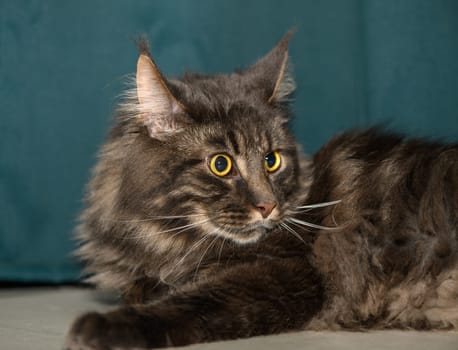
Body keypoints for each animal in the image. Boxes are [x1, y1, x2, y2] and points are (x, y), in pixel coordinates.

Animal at [65, 33, 458, 350]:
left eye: (271, 160)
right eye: (220, 164)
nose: (268, 206)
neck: (166, 236)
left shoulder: (284, 272)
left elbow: (192, 303)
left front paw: (107, 327)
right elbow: (141, 289)